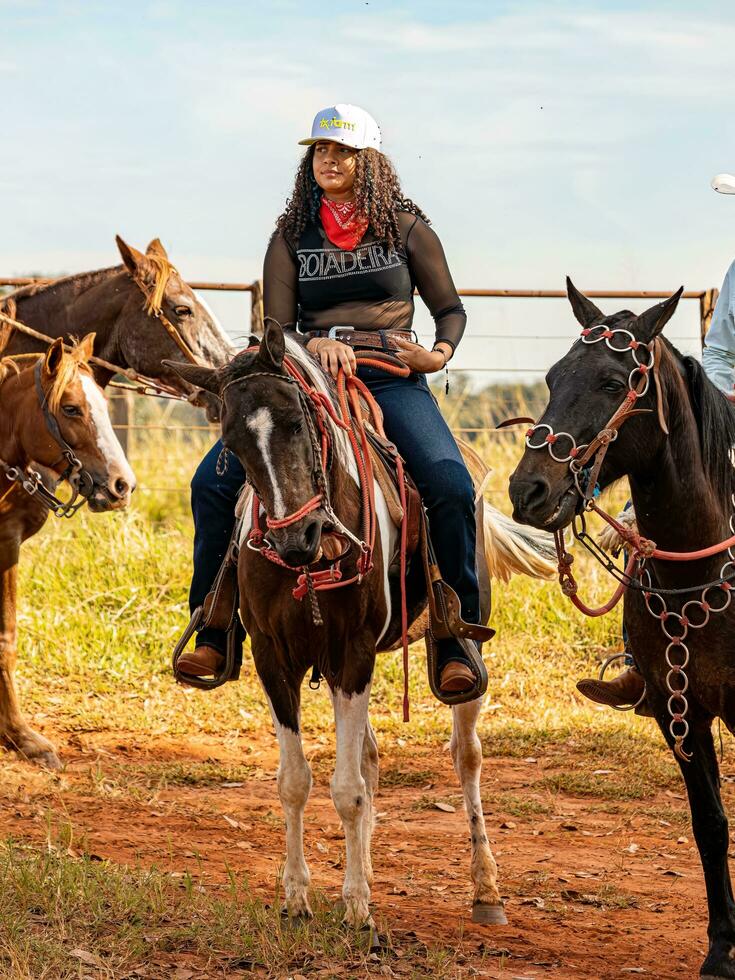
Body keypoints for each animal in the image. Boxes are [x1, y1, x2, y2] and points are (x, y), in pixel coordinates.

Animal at [168, 324, 556, 936]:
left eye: (297, 419)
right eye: (230, 440)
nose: (295, 538)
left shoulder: (353, 654)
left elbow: (347, 790)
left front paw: (354, 907)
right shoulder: (276, 660)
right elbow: (296, 782)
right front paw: (299, 896)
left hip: (457, 656)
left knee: (465, 756)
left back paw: (485, 887)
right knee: (371, 758)